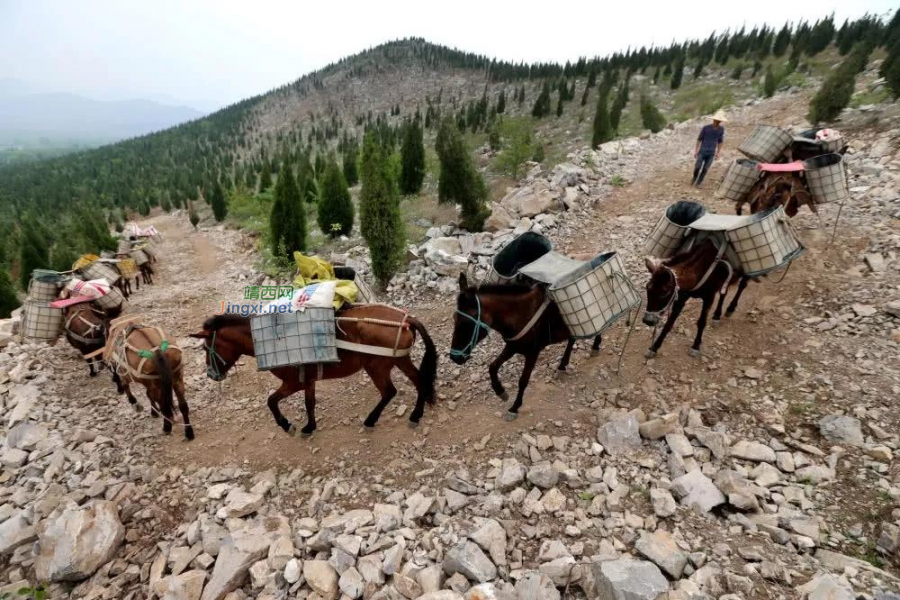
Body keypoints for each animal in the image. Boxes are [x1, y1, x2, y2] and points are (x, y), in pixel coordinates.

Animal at [191, 304, 440, 436]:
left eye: (205, 347)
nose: (211, 375)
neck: (271, 340)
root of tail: (406, 320)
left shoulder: (293, 382)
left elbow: (271, 401)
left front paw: (286, 425)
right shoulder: (308, 380)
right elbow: (309, 402)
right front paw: (310, 426)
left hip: (376, 366)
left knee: (389, 391)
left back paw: (371, 420)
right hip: (399, 360)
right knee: (419, 380)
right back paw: (416, 415)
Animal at [450, 274, 604, 420]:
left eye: (466, 323)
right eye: (454, 318)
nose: (454, 358)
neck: (520, 314)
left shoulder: (532, 353)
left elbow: (523, 381)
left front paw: (514, 408)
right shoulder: (512, 346)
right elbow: (492, 367)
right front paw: (501, 392)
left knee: (600, 325)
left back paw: (595, 347)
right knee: (572, 338)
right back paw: (562, 366)